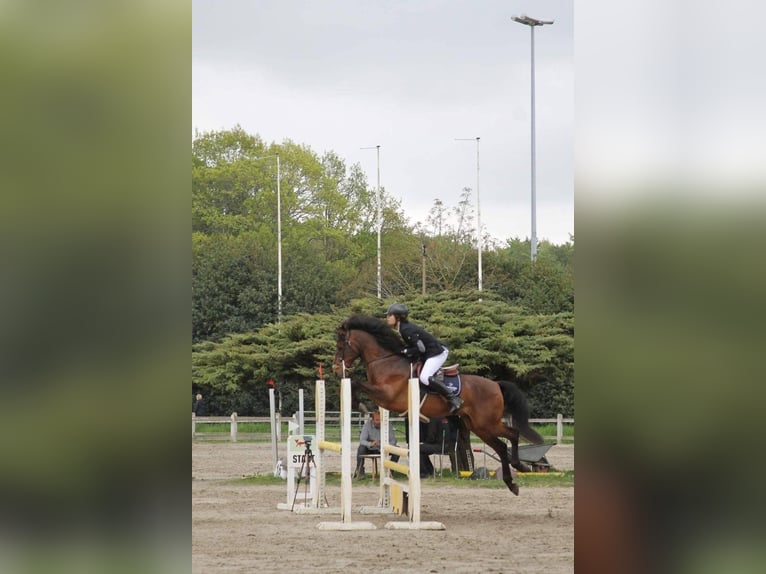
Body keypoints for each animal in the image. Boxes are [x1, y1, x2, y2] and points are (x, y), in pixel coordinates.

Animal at [332, 314, 544, 495]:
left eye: (341, 345)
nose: (335, 370)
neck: (386, 362)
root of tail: (496, 385)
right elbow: (357, 384)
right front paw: (360, 405)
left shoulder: (387, 396)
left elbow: (356, 383)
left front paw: (359, 405)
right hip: (477, 425)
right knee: (504, 443)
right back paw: (514, 477)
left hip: (486, 423)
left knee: (510, 436)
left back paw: (517, 470)